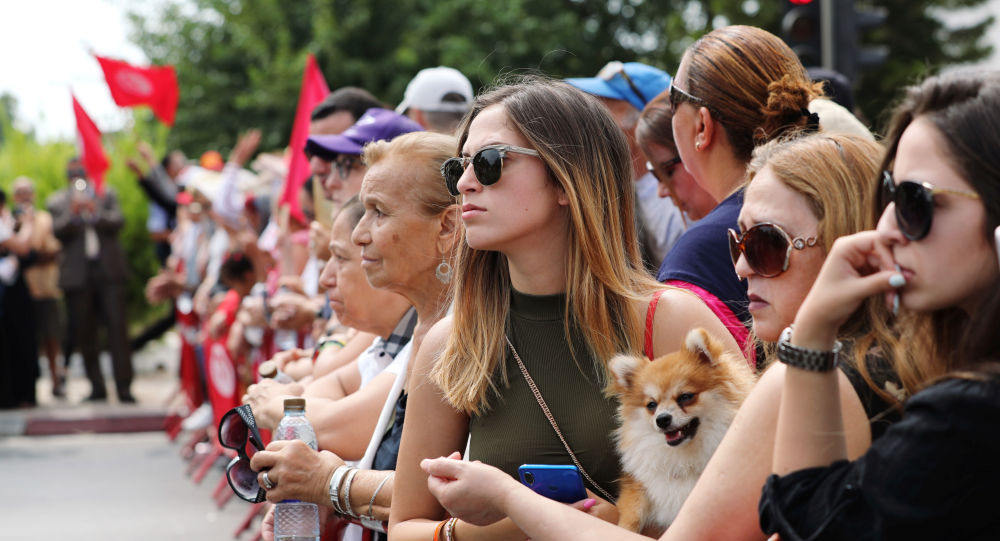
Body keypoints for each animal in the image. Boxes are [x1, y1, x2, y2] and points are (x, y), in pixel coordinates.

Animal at [604, 324, 752, 536]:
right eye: (651, 405)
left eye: (685, 397)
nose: (662, 419)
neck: (682, 459)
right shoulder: (637, 486)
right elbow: (632, 514)